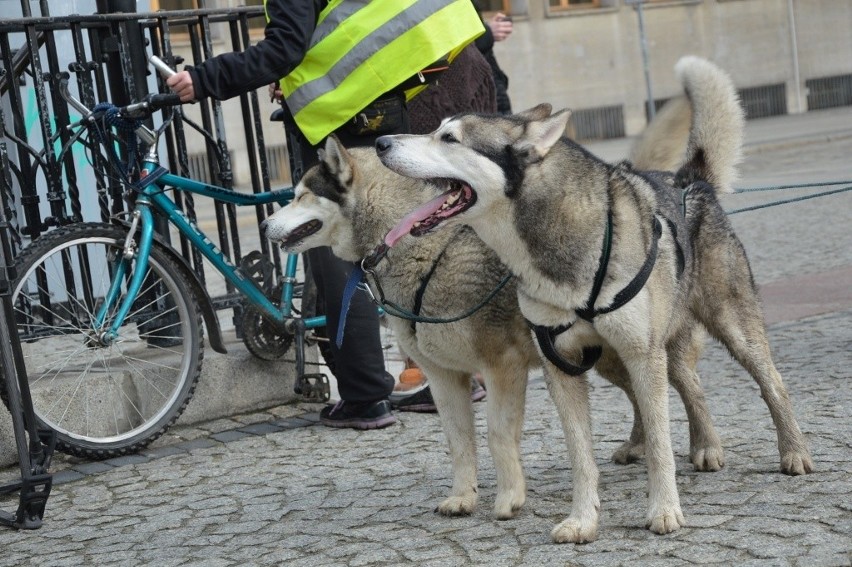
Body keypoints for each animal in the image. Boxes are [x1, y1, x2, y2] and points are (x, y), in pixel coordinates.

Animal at [376, 56, 816, 540]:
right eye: (436, 129)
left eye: (449, 138)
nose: (380, 141)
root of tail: (690, 181)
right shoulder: (562, 365)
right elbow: (580, 455)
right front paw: (583, 519)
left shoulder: (640, 355)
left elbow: (661, 444)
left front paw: (664, 510)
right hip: (634, 353)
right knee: (691, 387)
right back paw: (705, 447)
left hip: (728, 328)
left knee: (771, 384)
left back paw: (793, 452)